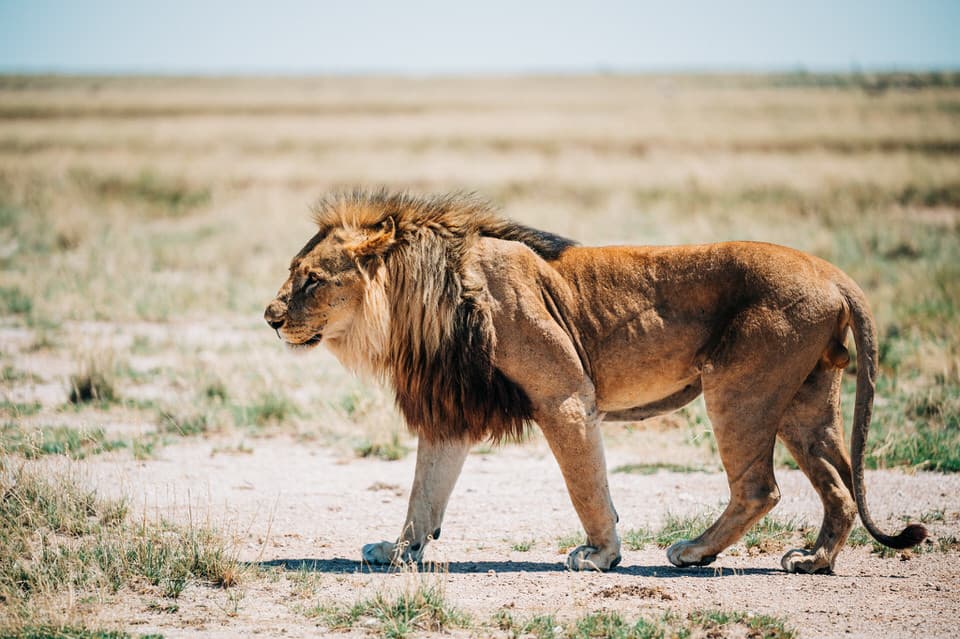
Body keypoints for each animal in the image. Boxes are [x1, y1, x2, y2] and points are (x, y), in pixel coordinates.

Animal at [262, 190, 924, 576]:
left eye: (312, 280)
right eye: (295, 273)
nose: (269, 317)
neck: (421, 299)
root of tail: (834, 273)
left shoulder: (564, 396)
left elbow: (586, 484)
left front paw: (602, 555)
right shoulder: (452, 410)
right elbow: (424, 492)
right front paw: (399, 552)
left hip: (740, 389)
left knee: (761, 487)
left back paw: (692, 552)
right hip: (805, 402)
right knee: (839, 484)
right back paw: (813, 560)